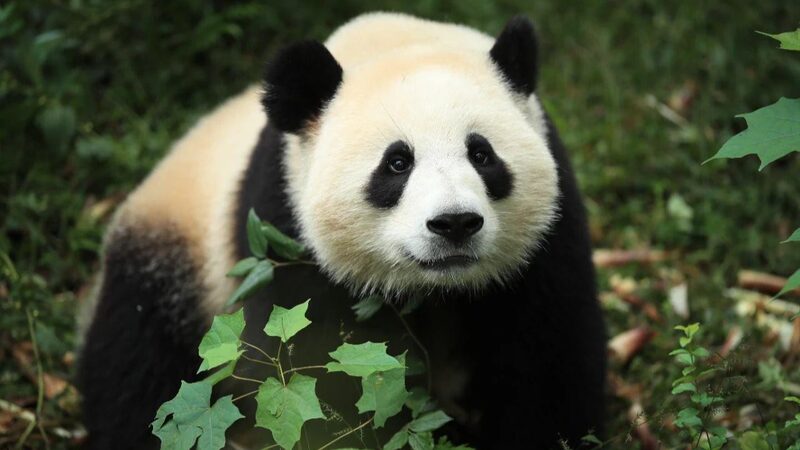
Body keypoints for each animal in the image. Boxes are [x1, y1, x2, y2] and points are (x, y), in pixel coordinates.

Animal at [77, 12, 606, 450]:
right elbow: (322, 370)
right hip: (173, 251)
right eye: (397, 163)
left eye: (482, 155)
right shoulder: (282, 222)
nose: (454, 223)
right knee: (140, 370)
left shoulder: (550, 234)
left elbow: (547, 355)